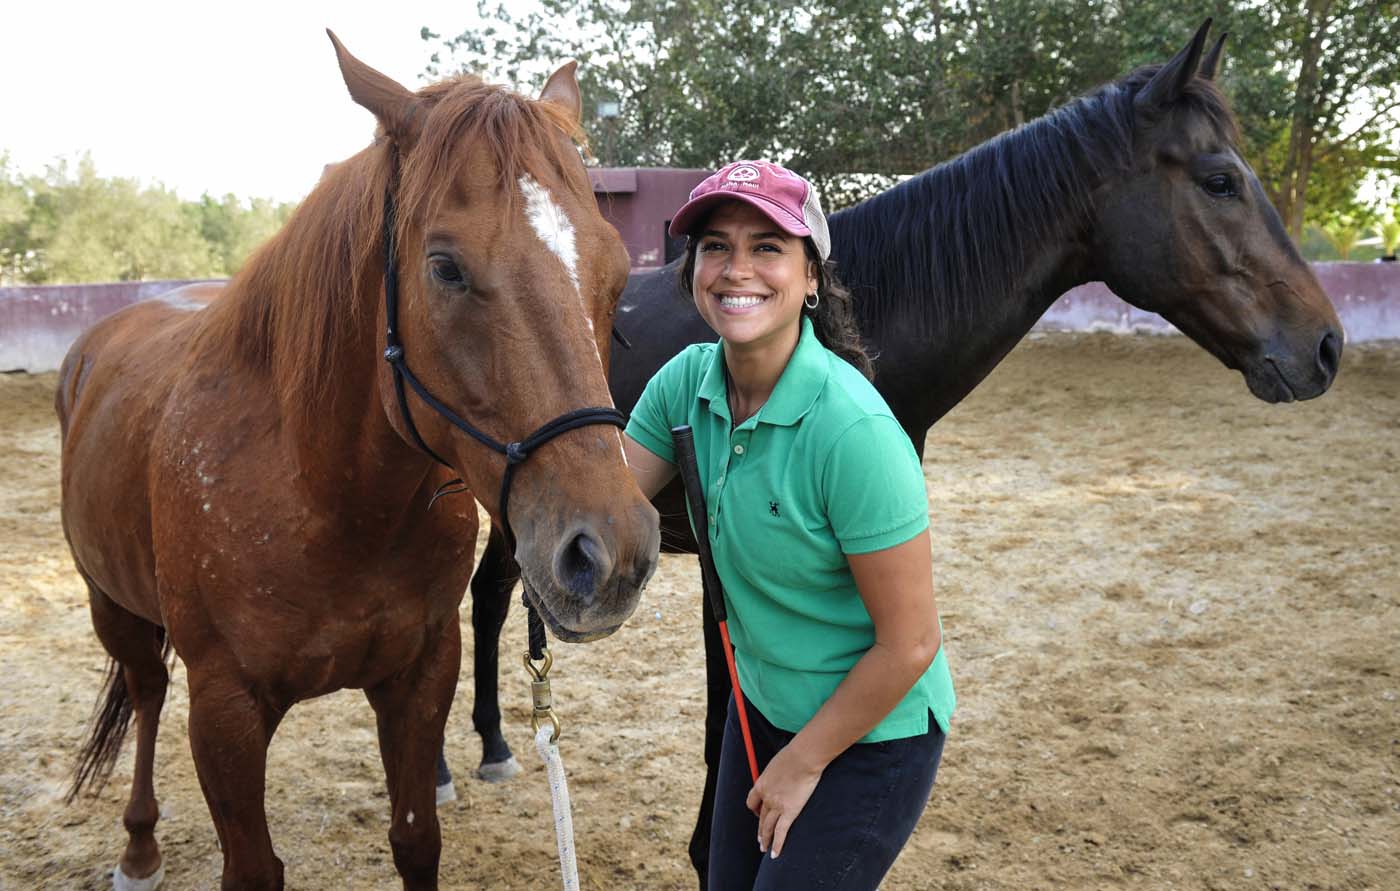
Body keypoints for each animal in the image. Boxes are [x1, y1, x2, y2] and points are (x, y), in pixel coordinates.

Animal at [57, 34, 658, 891]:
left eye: (614, 272)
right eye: (445, 267)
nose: (610, 554)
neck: (327, 497)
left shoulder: (421, 674)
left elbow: (416, 838)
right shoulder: (224, 711)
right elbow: (253, 864)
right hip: (112, 606)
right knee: (145, 693)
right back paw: (139, 846)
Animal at [453, 19, 1338, 885]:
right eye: (1220, 181)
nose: (1323, 346)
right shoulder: (707, 565)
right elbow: (725, 715)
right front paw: (710, 849)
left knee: (492, 594)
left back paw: (494, 746)